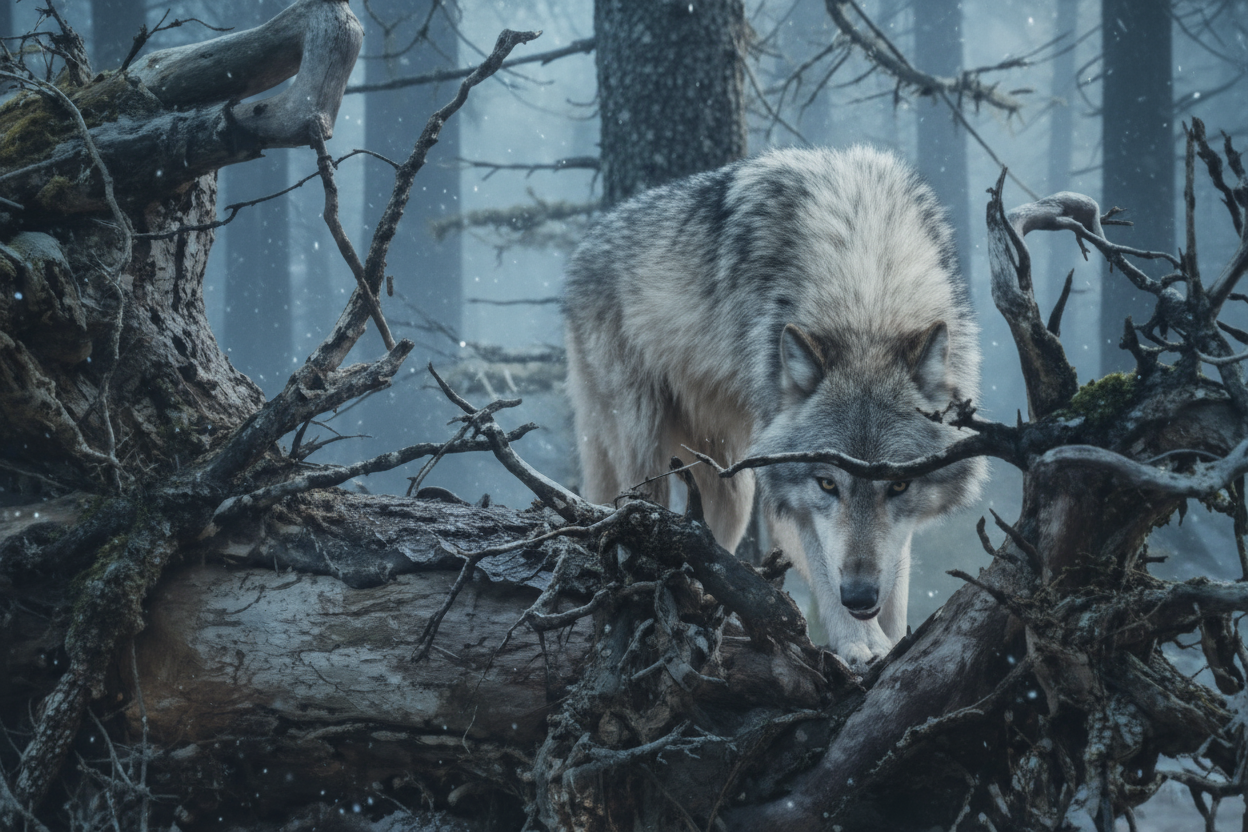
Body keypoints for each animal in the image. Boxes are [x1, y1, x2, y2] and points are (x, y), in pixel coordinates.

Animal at [563, 146, 986, 665]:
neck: (867, 296)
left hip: (731, 485)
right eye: (827, 484)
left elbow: (898, 574)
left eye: (900, 485)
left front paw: (893, 636)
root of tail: (585, 246)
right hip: (648, 456)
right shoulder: (791, 489)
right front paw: (861, 643)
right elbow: (822, 563)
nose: (860, 596)